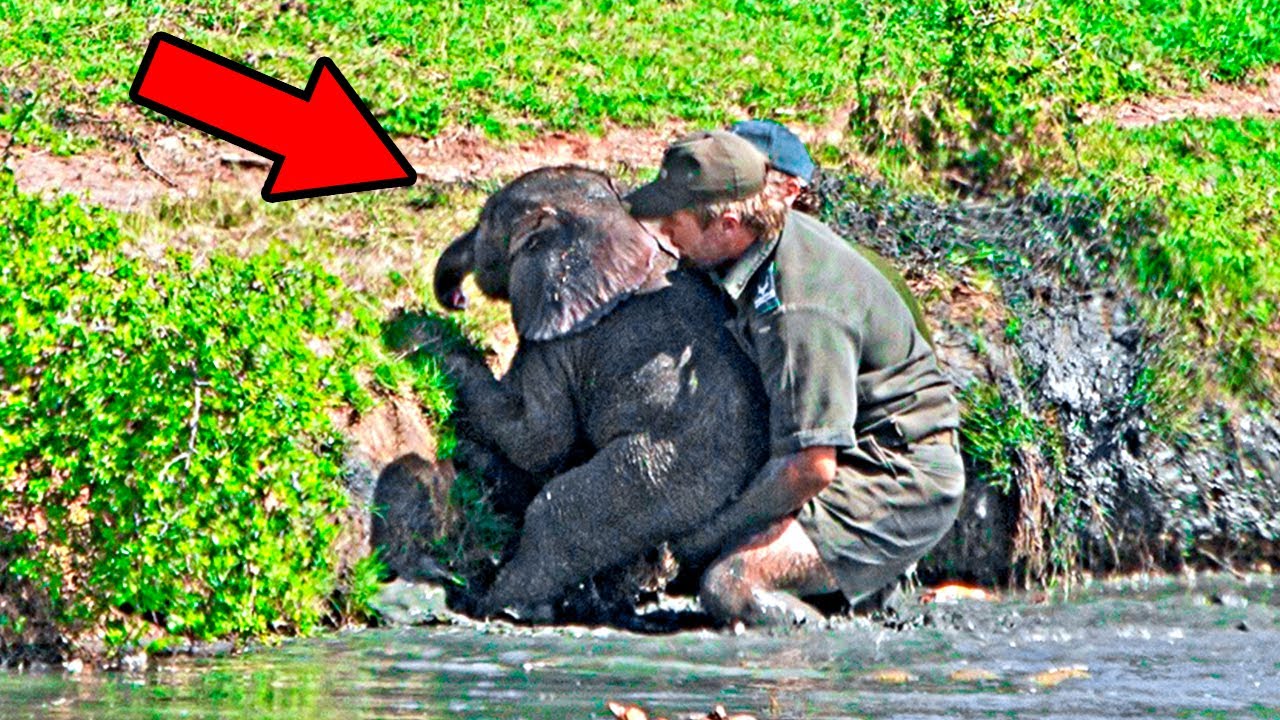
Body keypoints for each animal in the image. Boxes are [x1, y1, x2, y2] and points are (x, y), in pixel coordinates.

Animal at [429, 166, 769, 620]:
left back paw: (495, 604)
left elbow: (539, 438)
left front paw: (432, 342)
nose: (458, 300)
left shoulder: (560, 336)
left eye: (484, 223)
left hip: (666, 472)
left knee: (557, 511)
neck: (610, 218)